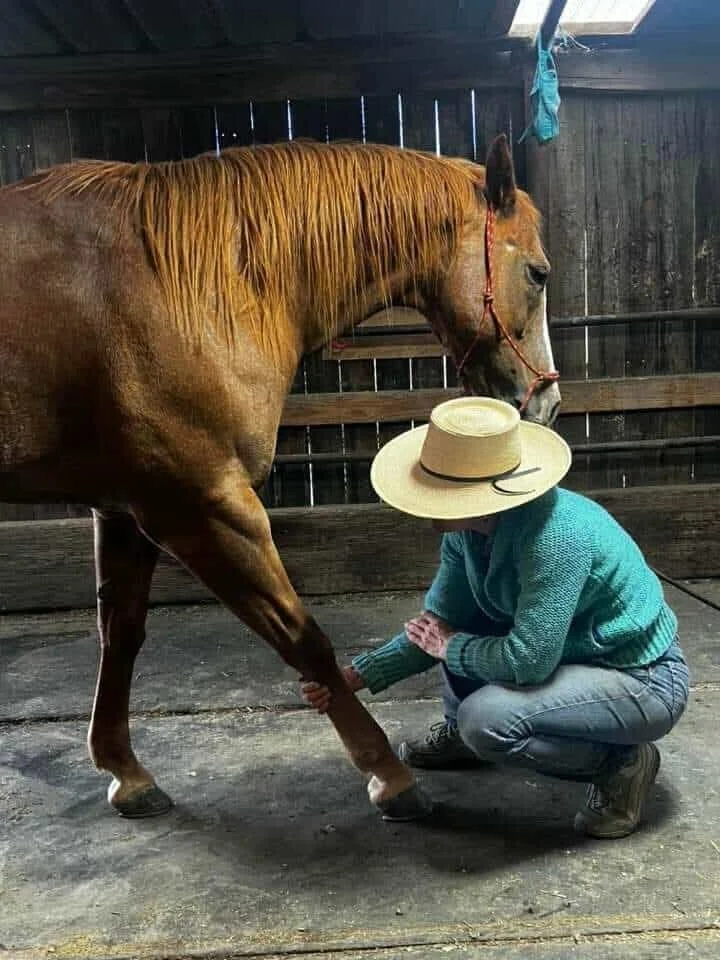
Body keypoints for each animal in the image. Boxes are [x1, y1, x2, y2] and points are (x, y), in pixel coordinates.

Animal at [0, 133, 560, 819]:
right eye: (537, 273)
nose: (547, 403)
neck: (185, 287)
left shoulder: (123, 510)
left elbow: (122, 633)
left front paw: (125, 771)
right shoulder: (203, 508)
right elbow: (303, 637)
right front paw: (388, 775)